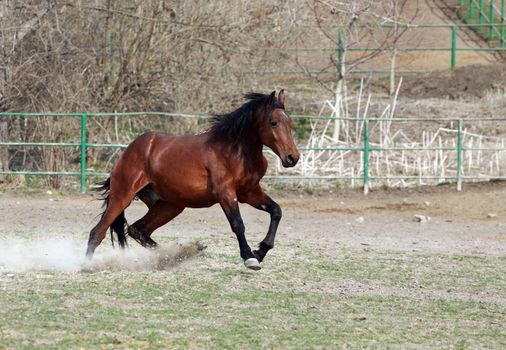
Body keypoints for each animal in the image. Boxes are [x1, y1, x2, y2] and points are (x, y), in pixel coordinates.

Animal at [86, 90, 300, 270]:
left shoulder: (249, 193)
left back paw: (174, 255)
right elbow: (238, 224)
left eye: (289, 123)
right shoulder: (225, 193)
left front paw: (260, 251)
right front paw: (250, 257)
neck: (235, 151)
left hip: (170, 206)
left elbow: (276, 211)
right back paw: (85, 265)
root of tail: (129, 150)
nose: (293, 158)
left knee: (137, 230)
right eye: (273, 122)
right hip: (123, 196)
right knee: (98, 232)